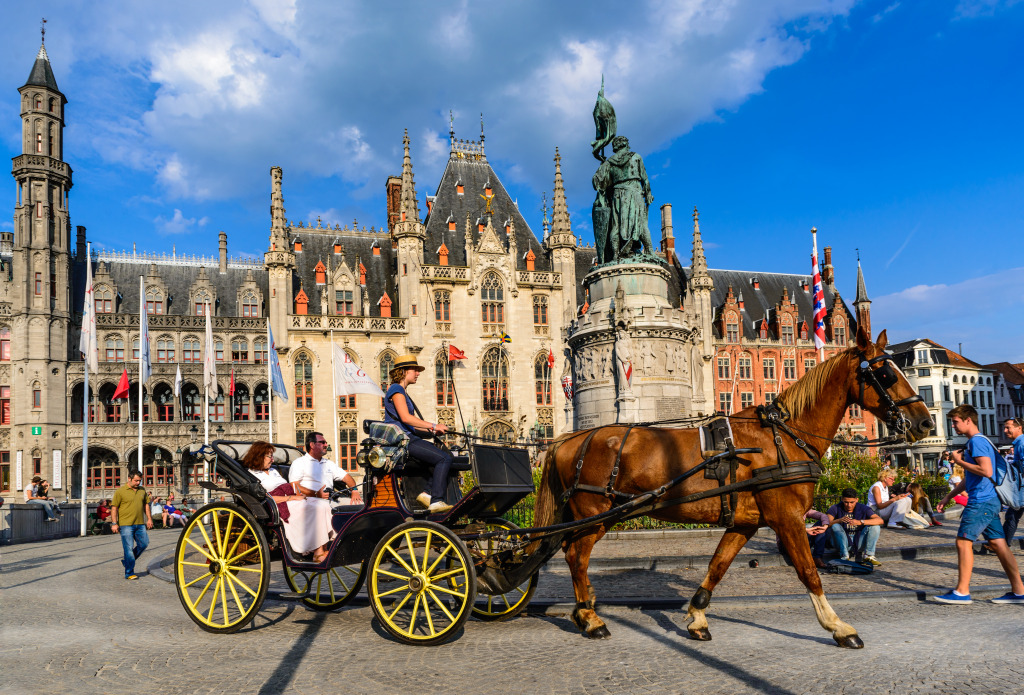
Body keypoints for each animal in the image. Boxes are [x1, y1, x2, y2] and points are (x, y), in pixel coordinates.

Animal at [536, 329, 937, 650]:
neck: (785, 436)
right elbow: (808, 570)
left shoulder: (745, 522)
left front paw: (697, 618)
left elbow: (718, 565)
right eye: (885, 373)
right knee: (576, 556)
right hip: (595, 515)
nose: (925, 422)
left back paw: (587, 611)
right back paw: (591, 619)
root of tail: (569, 438)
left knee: (571, 554)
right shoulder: (787, 518)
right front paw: (838, 626)